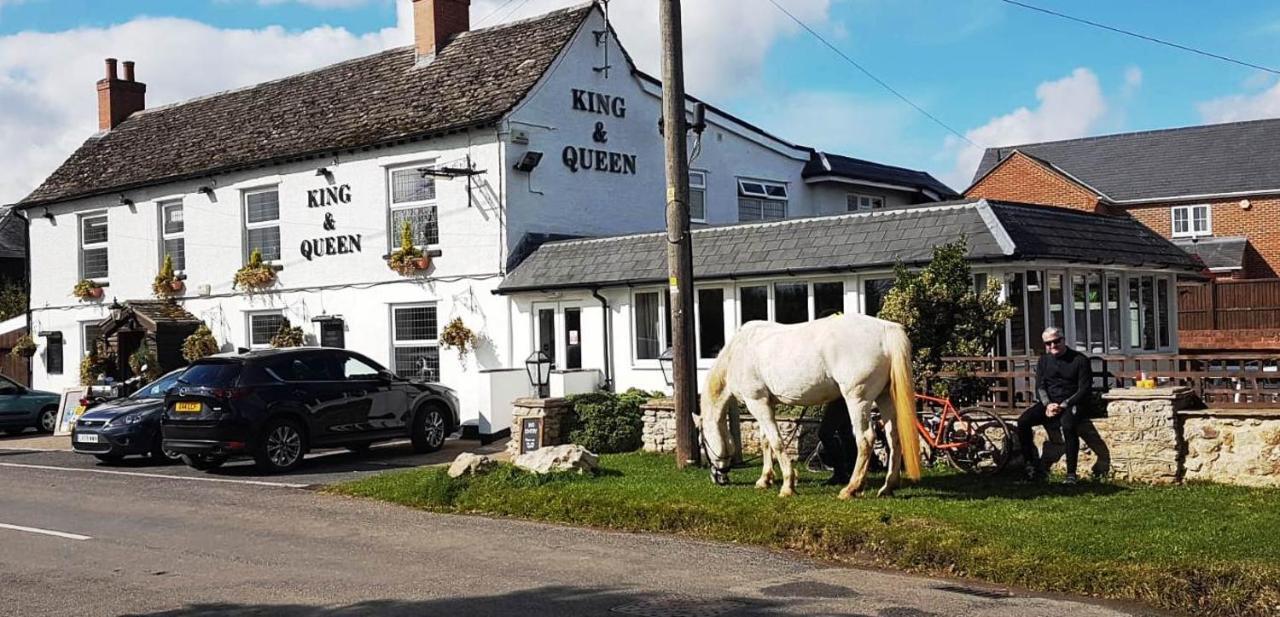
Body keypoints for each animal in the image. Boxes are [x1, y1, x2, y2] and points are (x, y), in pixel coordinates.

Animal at [701, 316, 921, 499]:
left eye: (702, 440)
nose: (718, 478)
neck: (738, 351)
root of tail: (886, 330)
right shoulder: (766, 404)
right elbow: (766, 441)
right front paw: (765, 479)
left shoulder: (756, 402)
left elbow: (777, 442)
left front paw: (788, 485)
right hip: (885, 397)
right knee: (894, 438)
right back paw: (887, 487)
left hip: (858, 400)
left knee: (865, 439)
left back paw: (851, 489)